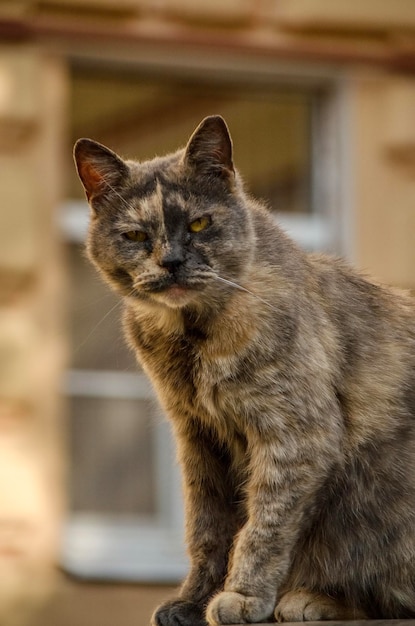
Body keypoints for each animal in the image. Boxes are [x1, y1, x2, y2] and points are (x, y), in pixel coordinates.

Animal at [73, 114, 415, 620]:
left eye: (200, 223)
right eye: (134, 235)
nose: (171, 262)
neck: (192, 339)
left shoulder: (295, 435)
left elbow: (264, 526)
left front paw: (243, 596)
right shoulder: (199, 438)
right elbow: (208, 528)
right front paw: (192, 602)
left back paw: (306, 600)